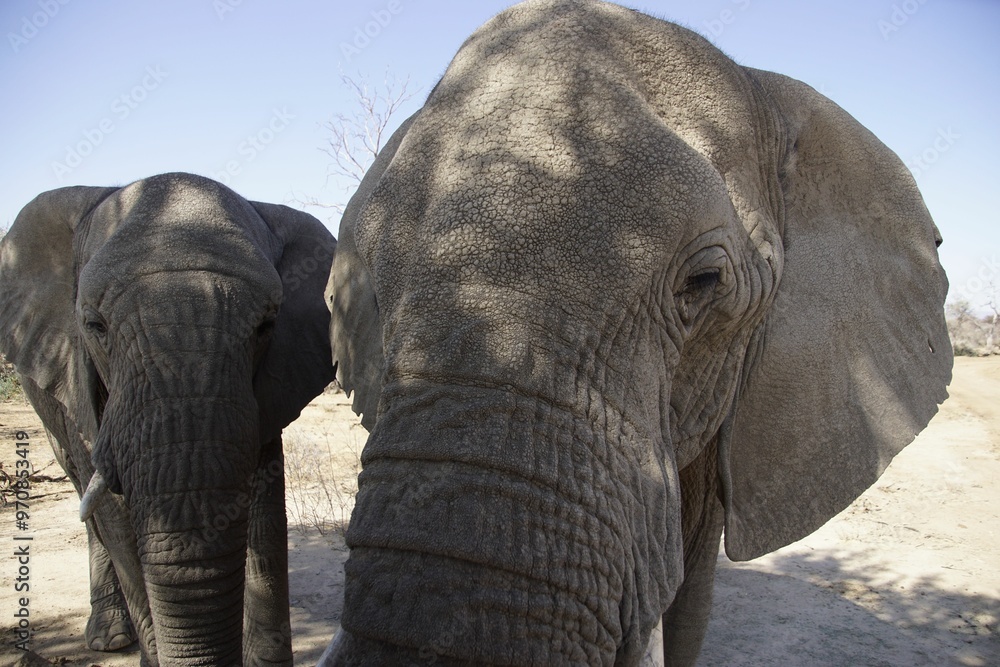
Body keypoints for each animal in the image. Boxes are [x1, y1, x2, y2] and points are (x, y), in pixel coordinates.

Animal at [0, 174, 336, 667]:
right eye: (95, 326)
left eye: (266, 325)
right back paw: (109, 638)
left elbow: (265, 501)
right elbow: (116, 514)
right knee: (84, 489)